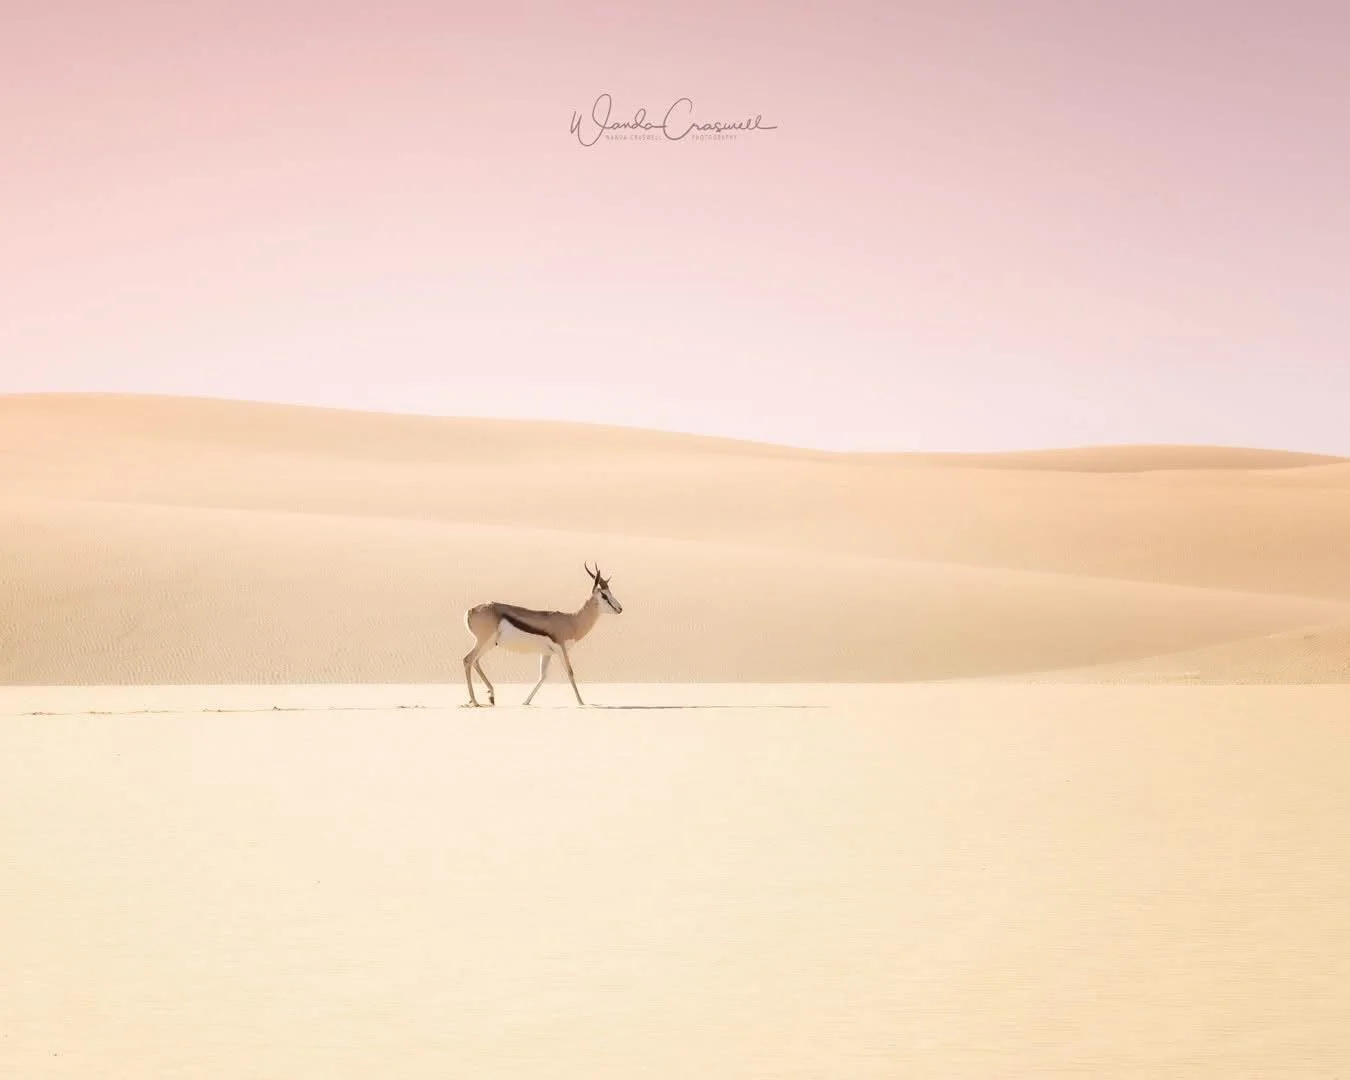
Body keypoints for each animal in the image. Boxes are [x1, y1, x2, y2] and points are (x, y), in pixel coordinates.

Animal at [461, 563, 623, 707]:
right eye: (604, 595)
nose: (620, 608)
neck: (572, 621)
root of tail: (471, 610)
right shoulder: (561, 649)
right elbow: (570, 672)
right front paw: (581, 702)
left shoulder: (547, 653)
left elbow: (543, 676)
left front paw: (526, 702)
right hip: (483, 641)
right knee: (468, 659)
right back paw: (475, 702)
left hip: (489, 644)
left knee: (475, 661)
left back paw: (490, 696)